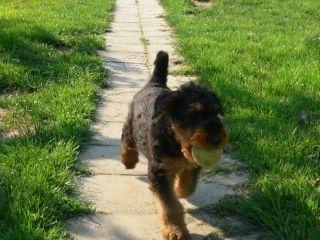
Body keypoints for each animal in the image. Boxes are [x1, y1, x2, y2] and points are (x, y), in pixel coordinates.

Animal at [120, 51, 228, 240]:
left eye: (216, 112)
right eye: (193, 112)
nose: (216, 139)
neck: (176, 141)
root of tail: (154, 83)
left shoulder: (192, 164)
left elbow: (188, 186)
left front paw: (179, 190)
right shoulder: (159, 171)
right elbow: (169, 205)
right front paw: (175, 230)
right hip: (131, 125)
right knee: (127, 139)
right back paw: (129, 160)